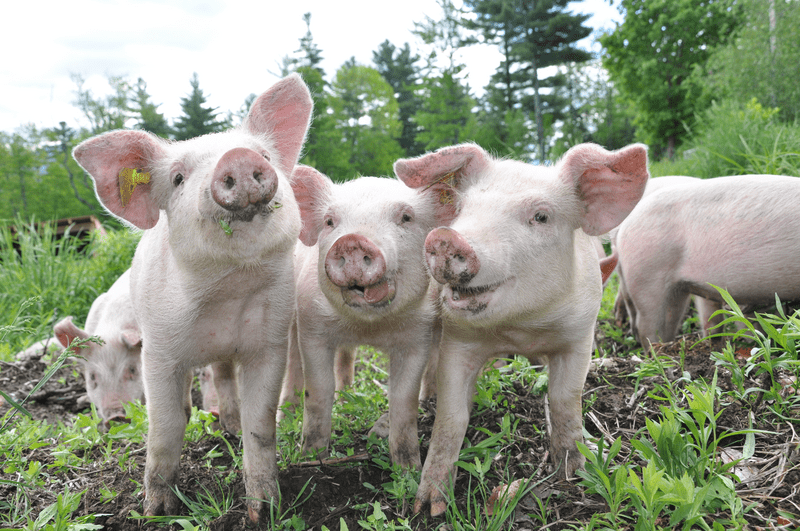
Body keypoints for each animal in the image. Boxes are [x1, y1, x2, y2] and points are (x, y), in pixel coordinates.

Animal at [72, 74, 314, 524]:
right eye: (179, 178)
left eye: (263, 154)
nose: (237, 158)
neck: (227, 293)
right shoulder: (158, 349)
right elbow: (167, 425)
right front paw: (155, 511)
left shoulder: (270, 342)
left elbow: (261, 423)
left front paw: (263, 511)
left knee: (223, 376)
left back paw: (229, 427)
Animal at [278, 166, 446, 470]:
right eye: (330, 221)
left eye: (406, 217)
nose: (353, 242)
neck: (368, 327)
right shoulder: (312, 326)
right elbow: (318, 391)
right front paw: (311, 457)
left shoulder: (419, 334)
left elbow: (403, 398)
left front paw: (408, 468)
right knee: (296, 362)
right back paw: (288, 416)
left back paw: (428, 399)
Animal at [394, 141, 648, 516]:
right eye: (463, 209)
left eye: (541, 216)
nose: (445, 238)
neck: (520, 330)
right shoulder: (458, 338)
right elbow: (451, 417)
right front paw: (429, 508)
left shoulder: (580, 336)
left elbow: (565, 399)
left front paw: (574, 472)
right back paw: (428, 399)